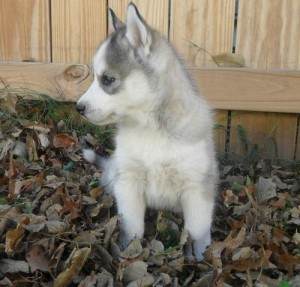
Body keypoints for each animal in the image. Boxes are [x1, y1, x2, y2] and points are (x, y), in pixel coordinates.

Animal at [77, 2, 218, 260]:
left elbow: (197, 230)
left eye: (107, 79)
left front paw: (200, 256)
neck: (151, 129)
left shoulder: (196, 188)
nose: (78, 107)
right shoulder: (128, 182)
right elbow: (132, 225)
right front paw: (127, 249)